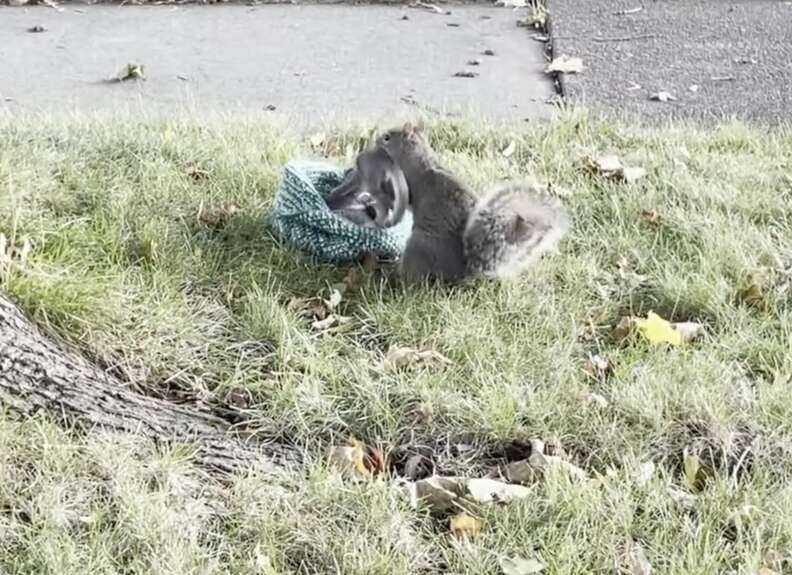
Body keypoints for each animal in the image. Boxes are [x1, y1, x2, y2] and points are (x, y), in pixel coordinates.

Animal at [378, 122, 568, 282]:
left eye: (387, 137)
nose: (376, 139)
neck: (417, 157)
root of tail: (462, 272)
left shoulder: (411, 181)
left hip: (420, 245)